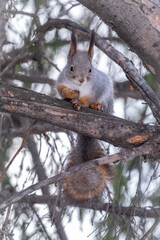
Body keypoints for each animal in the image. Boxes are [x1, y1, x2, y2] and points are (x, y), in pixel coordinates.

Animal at [56, 31, 114, 202]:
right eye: (71, 68)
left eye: (90, 70)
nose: (81, 80)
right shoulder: (60, 81)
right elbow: (62, 89)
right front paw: (70, 94)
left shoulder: (98, 88)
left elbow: (88, 98)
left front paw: (82, 102)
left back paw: (97, 106)